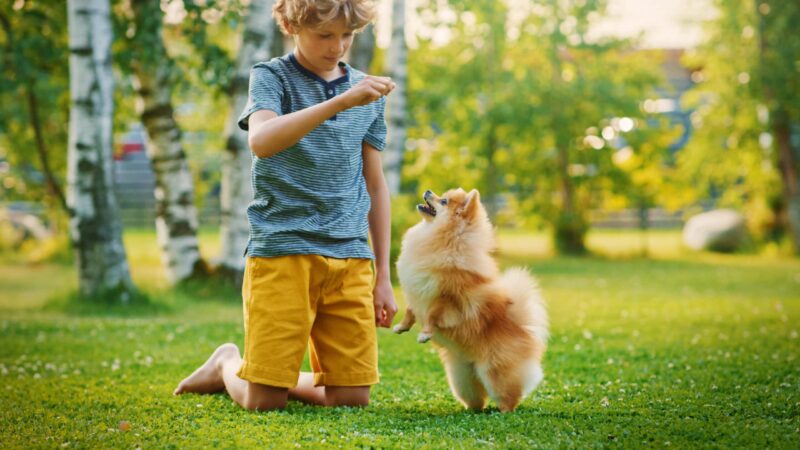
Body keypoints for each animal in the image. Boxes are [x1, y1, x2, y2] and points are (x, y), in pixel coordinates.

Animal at [396, 188, 552, 414]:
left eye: (443, 201)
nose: (427, 191)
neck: (443, 240)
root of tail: (521, 328)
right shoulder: (416, 293)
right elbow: (410, 311)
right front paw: (401, 326)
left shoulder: (447, 298)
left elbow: (433, 315)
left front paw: (425, 334)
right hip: (461, 379)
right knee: (476, 398)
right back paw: (471, 410)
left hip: (495, 373)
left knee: (508, 396)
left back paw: (504, 411)